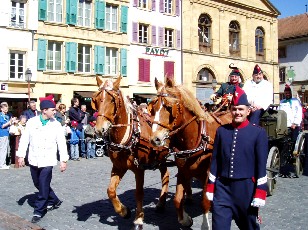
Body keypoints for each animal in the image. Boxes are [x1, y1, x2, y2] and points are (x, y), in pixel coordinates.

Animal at [91, 76, 171, 229]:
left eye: (112, 100)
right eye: (96, 99)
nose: (99, 129)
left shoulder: (139, 169)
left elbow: (139, 193)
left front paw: (139, 219)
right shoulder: (118, 167)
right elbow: (110, 191)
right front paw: (124, 211)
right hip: (161, 158)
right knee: (166, 175)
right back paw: (160, 203)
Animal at [149, 78, 231, 229]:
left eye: (169, 107)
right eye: (153, 108)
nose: (155, 139)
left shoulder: (209, 173)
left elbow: (205, 201)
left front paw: (205, 225)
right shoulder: (183, 170)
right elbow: (177, 199)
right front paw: (185, 219)